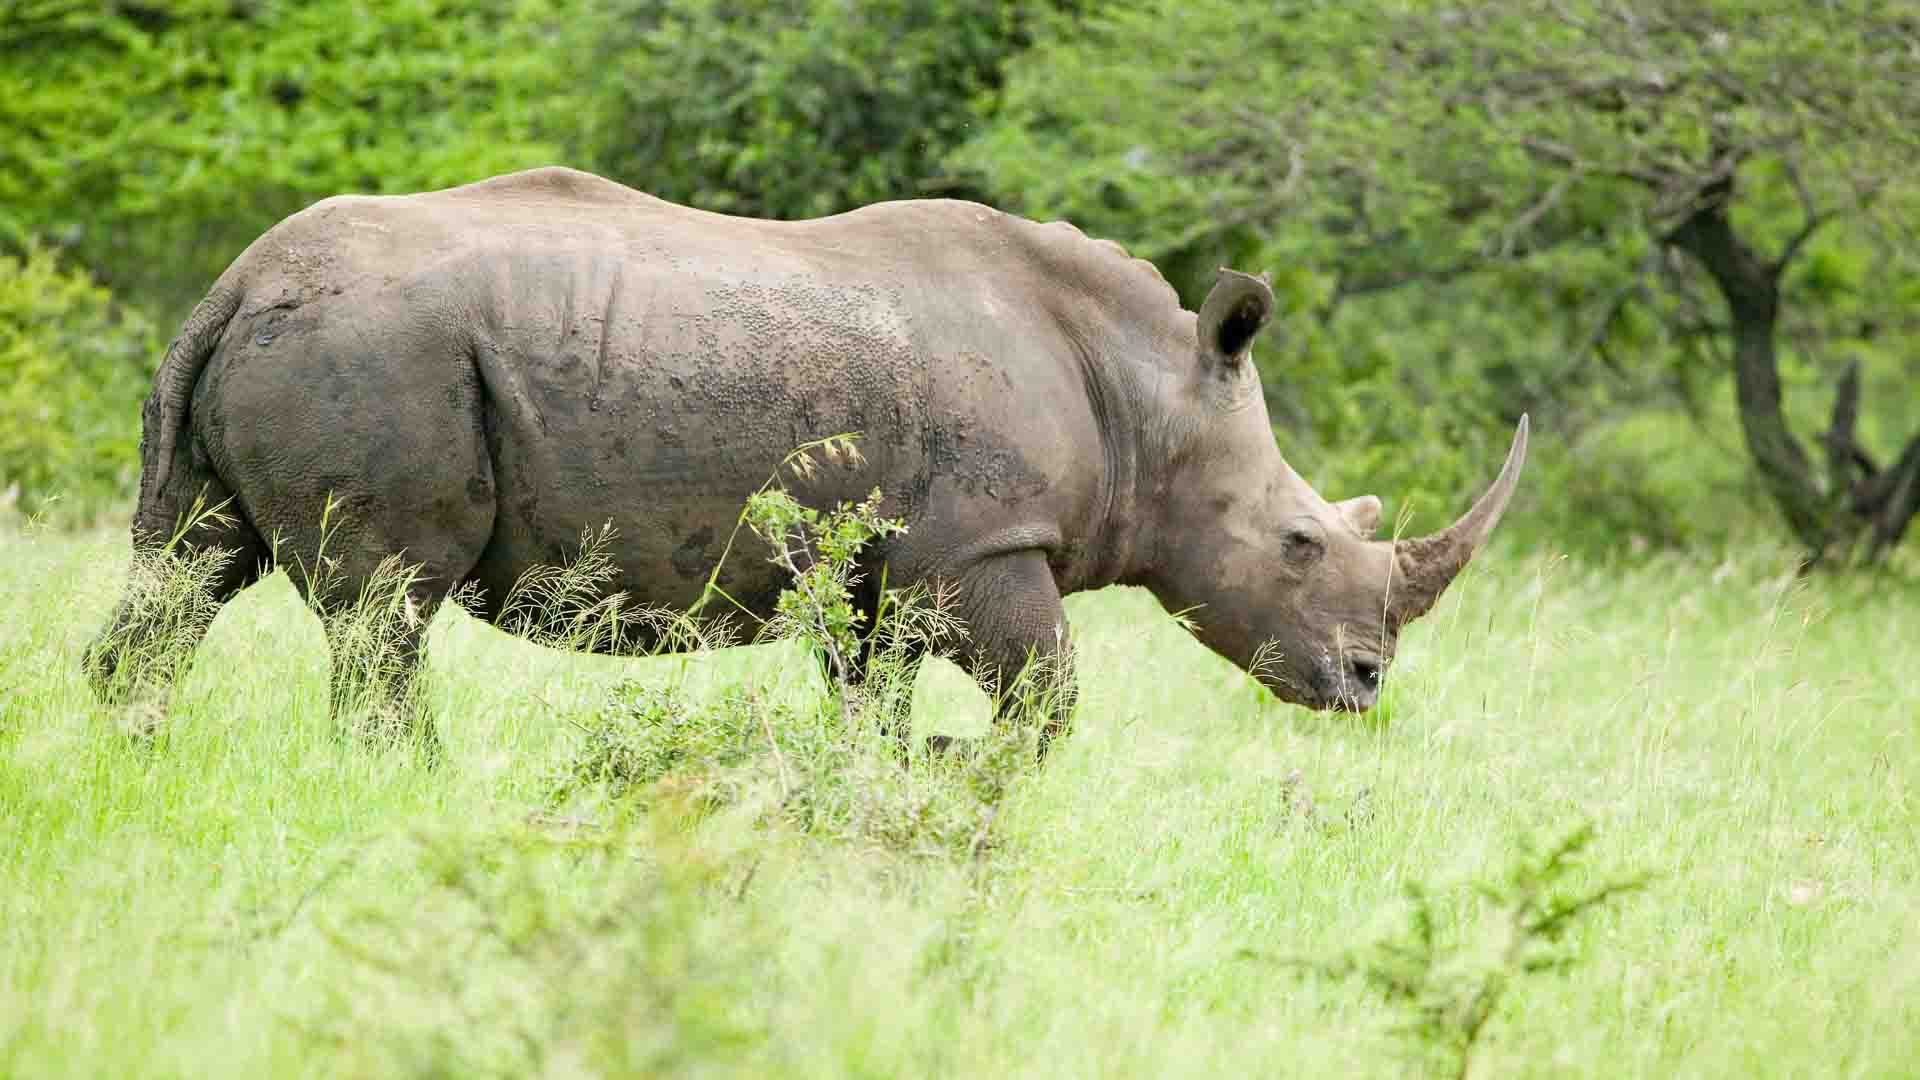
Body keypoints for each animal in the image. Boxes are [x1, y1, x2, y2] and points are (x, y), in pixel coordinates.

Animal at [87, 166, 1526, 749]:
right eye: (1299, 542)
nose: (1366, 683)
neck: (1146, 397)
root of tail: (234, 285)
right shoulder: (980, 547)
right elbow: (1049, 703)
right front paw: (958, 773)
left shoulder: (880, 573)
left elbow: (866, 704)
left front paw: (885, 785)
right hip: (377, 352)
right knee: (384, 610)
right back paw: (409, 780)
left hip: (291, 346)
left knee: (188, 573)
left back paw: (137, 754)